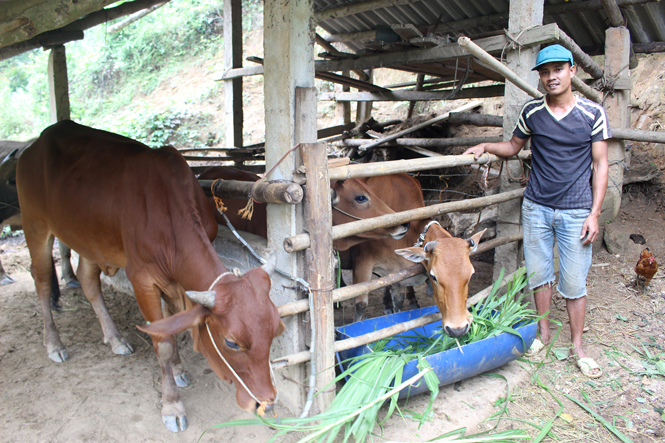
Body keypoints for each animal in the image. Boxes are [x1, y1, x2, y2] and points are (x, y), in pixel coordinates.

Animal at [18, 121, 282, 434]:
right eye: (231, 343)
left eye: (276, 330)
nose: (265, 402)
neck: (168, 214)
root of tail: (34, 145)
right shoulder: (142, 279)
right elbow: (163, 342)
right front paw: (172, 405)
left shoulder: (176, 280)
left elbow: (172, 323)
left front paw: (179, 371)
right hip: (35, 226)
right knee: (42, 282)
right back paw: (54, 345)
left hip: (90, 240)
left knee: (88, 282)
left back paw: (115, 339)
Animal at [348, 173, 482, 336]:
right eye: (434, 277)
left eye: (471, 275)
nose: (458, 329)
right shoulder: (362, 263)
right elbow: (361, 305)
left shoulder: (399, 272)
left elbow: (398, 302)